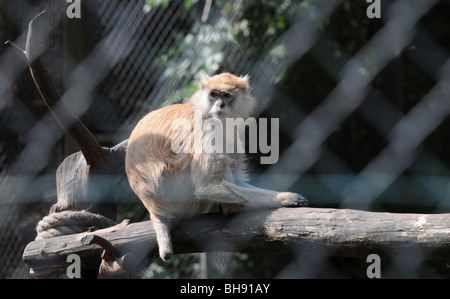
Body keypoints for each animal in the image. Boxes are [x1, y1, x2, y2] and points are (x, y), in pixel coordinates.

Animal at [125, 74, 308, 262]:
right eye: (214, 94)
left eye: (226, 95)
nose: (219, 105)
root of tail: (153, 208)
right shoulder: (208, 130)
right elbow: (209, 187)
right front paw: (285, 198)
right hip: (176, 194)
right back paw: (231, 209)